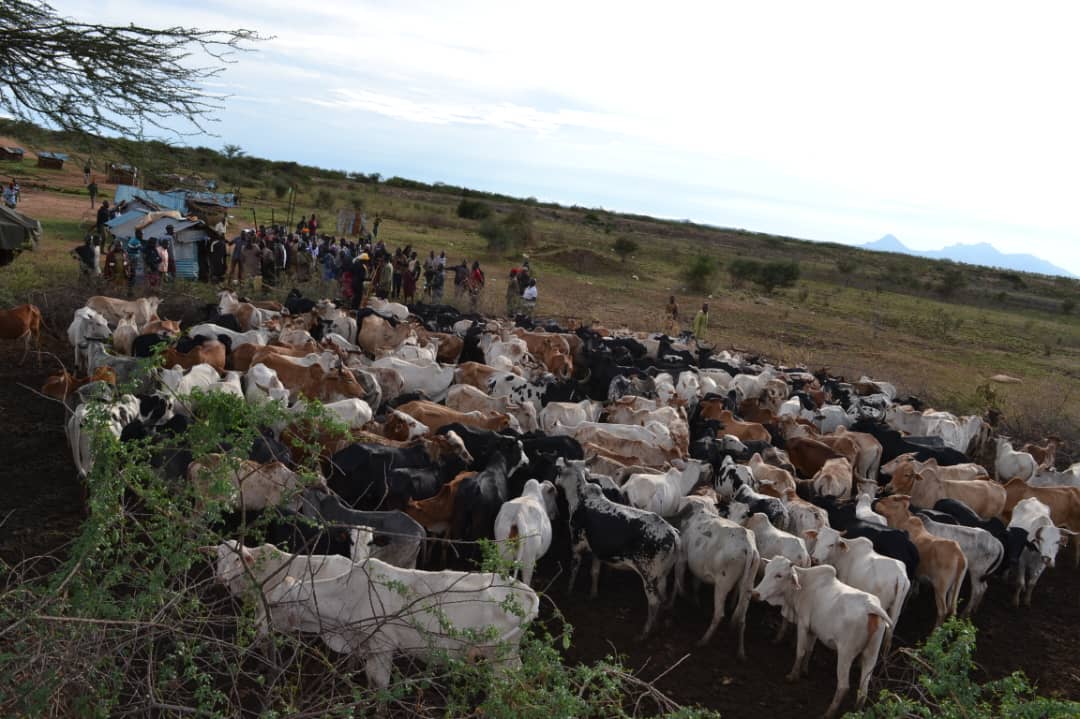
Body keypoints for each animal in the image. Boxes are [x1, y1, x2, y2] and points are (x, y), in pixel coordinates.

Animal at [552, 455, 678, 634]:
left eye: (559, 469)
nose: (555, 480)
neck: (581, 495)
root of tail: (673, 533)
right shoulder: (597, 550)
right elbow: (595, 572)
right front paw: (593, 594)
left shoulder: (576, 544)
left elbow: (574, 570)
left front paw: (568, 592)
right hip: (662, 576)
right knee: (663, 598)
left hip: (649, 576)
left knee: (655, 602)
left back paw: (645, 632)